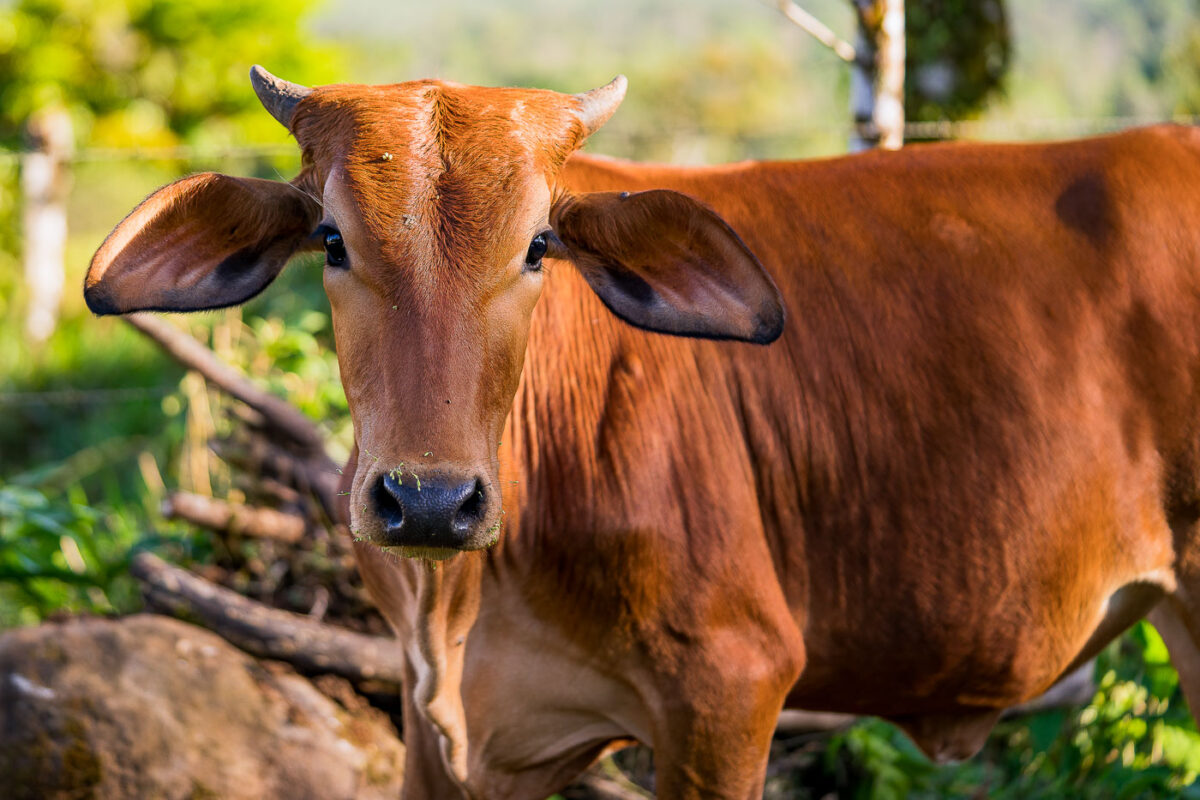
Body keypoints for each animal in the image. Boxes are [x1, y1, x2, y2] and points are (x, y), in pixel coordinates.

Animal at [87, 68, 1200, 800]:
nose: (429, 502)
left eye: (539, 245)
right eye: (329, 238)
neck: (465, 597)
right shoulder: (441, 724)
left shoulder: (729, 691)